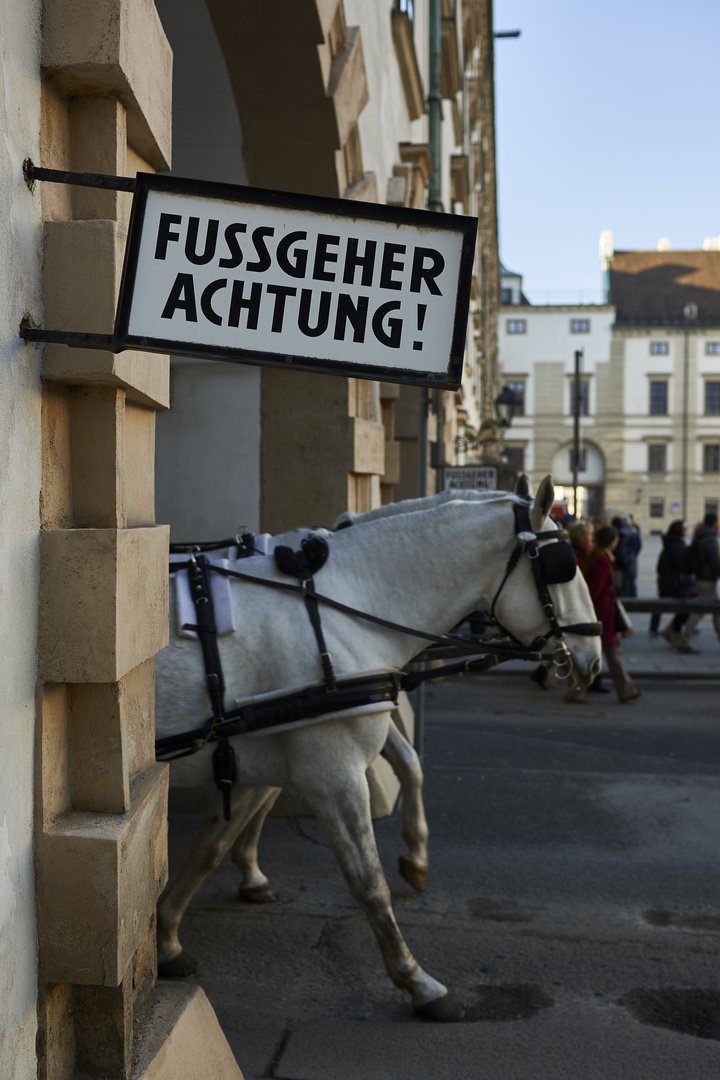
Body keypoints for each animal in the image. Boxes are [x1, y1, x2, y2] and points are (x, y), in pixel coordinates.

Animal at [157, 477, 604, 1015]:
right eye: (565, 566)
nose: (594, 658)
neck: (342, 606)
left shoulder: (259, 755)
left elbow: (212, 844)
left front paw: (167, 935)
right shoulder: (332, 772)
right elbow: (368, 882)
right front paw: (418, 982)